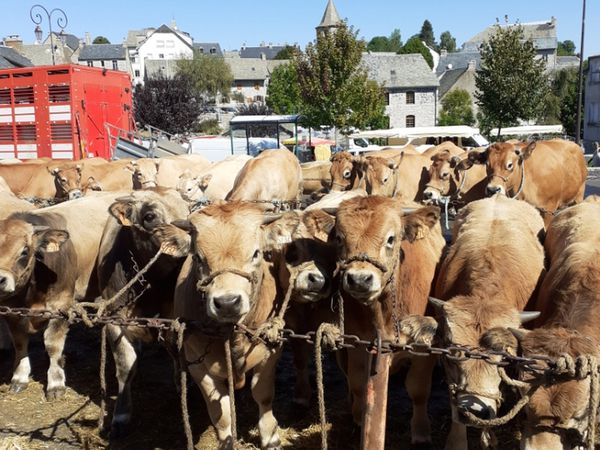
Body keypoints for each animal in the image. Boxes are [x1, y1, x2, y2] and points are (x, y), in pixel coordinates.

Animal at [95, 188, 190, 438]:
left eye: (188, 209)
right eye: (149, 216)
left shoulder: (174, 323)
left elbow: (178, 357)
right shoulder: (114, 322)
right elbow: (125, 366)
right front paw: (120, 416)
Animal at [332, 198, 446, 446]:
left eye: (391, 239)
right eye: (339, 238)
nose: (359, 279)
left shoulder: (424, 348)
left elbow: (418, 389)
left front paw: (421, 432)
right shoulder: (356, 344)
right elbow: (357, 383)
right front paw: (358, 417)